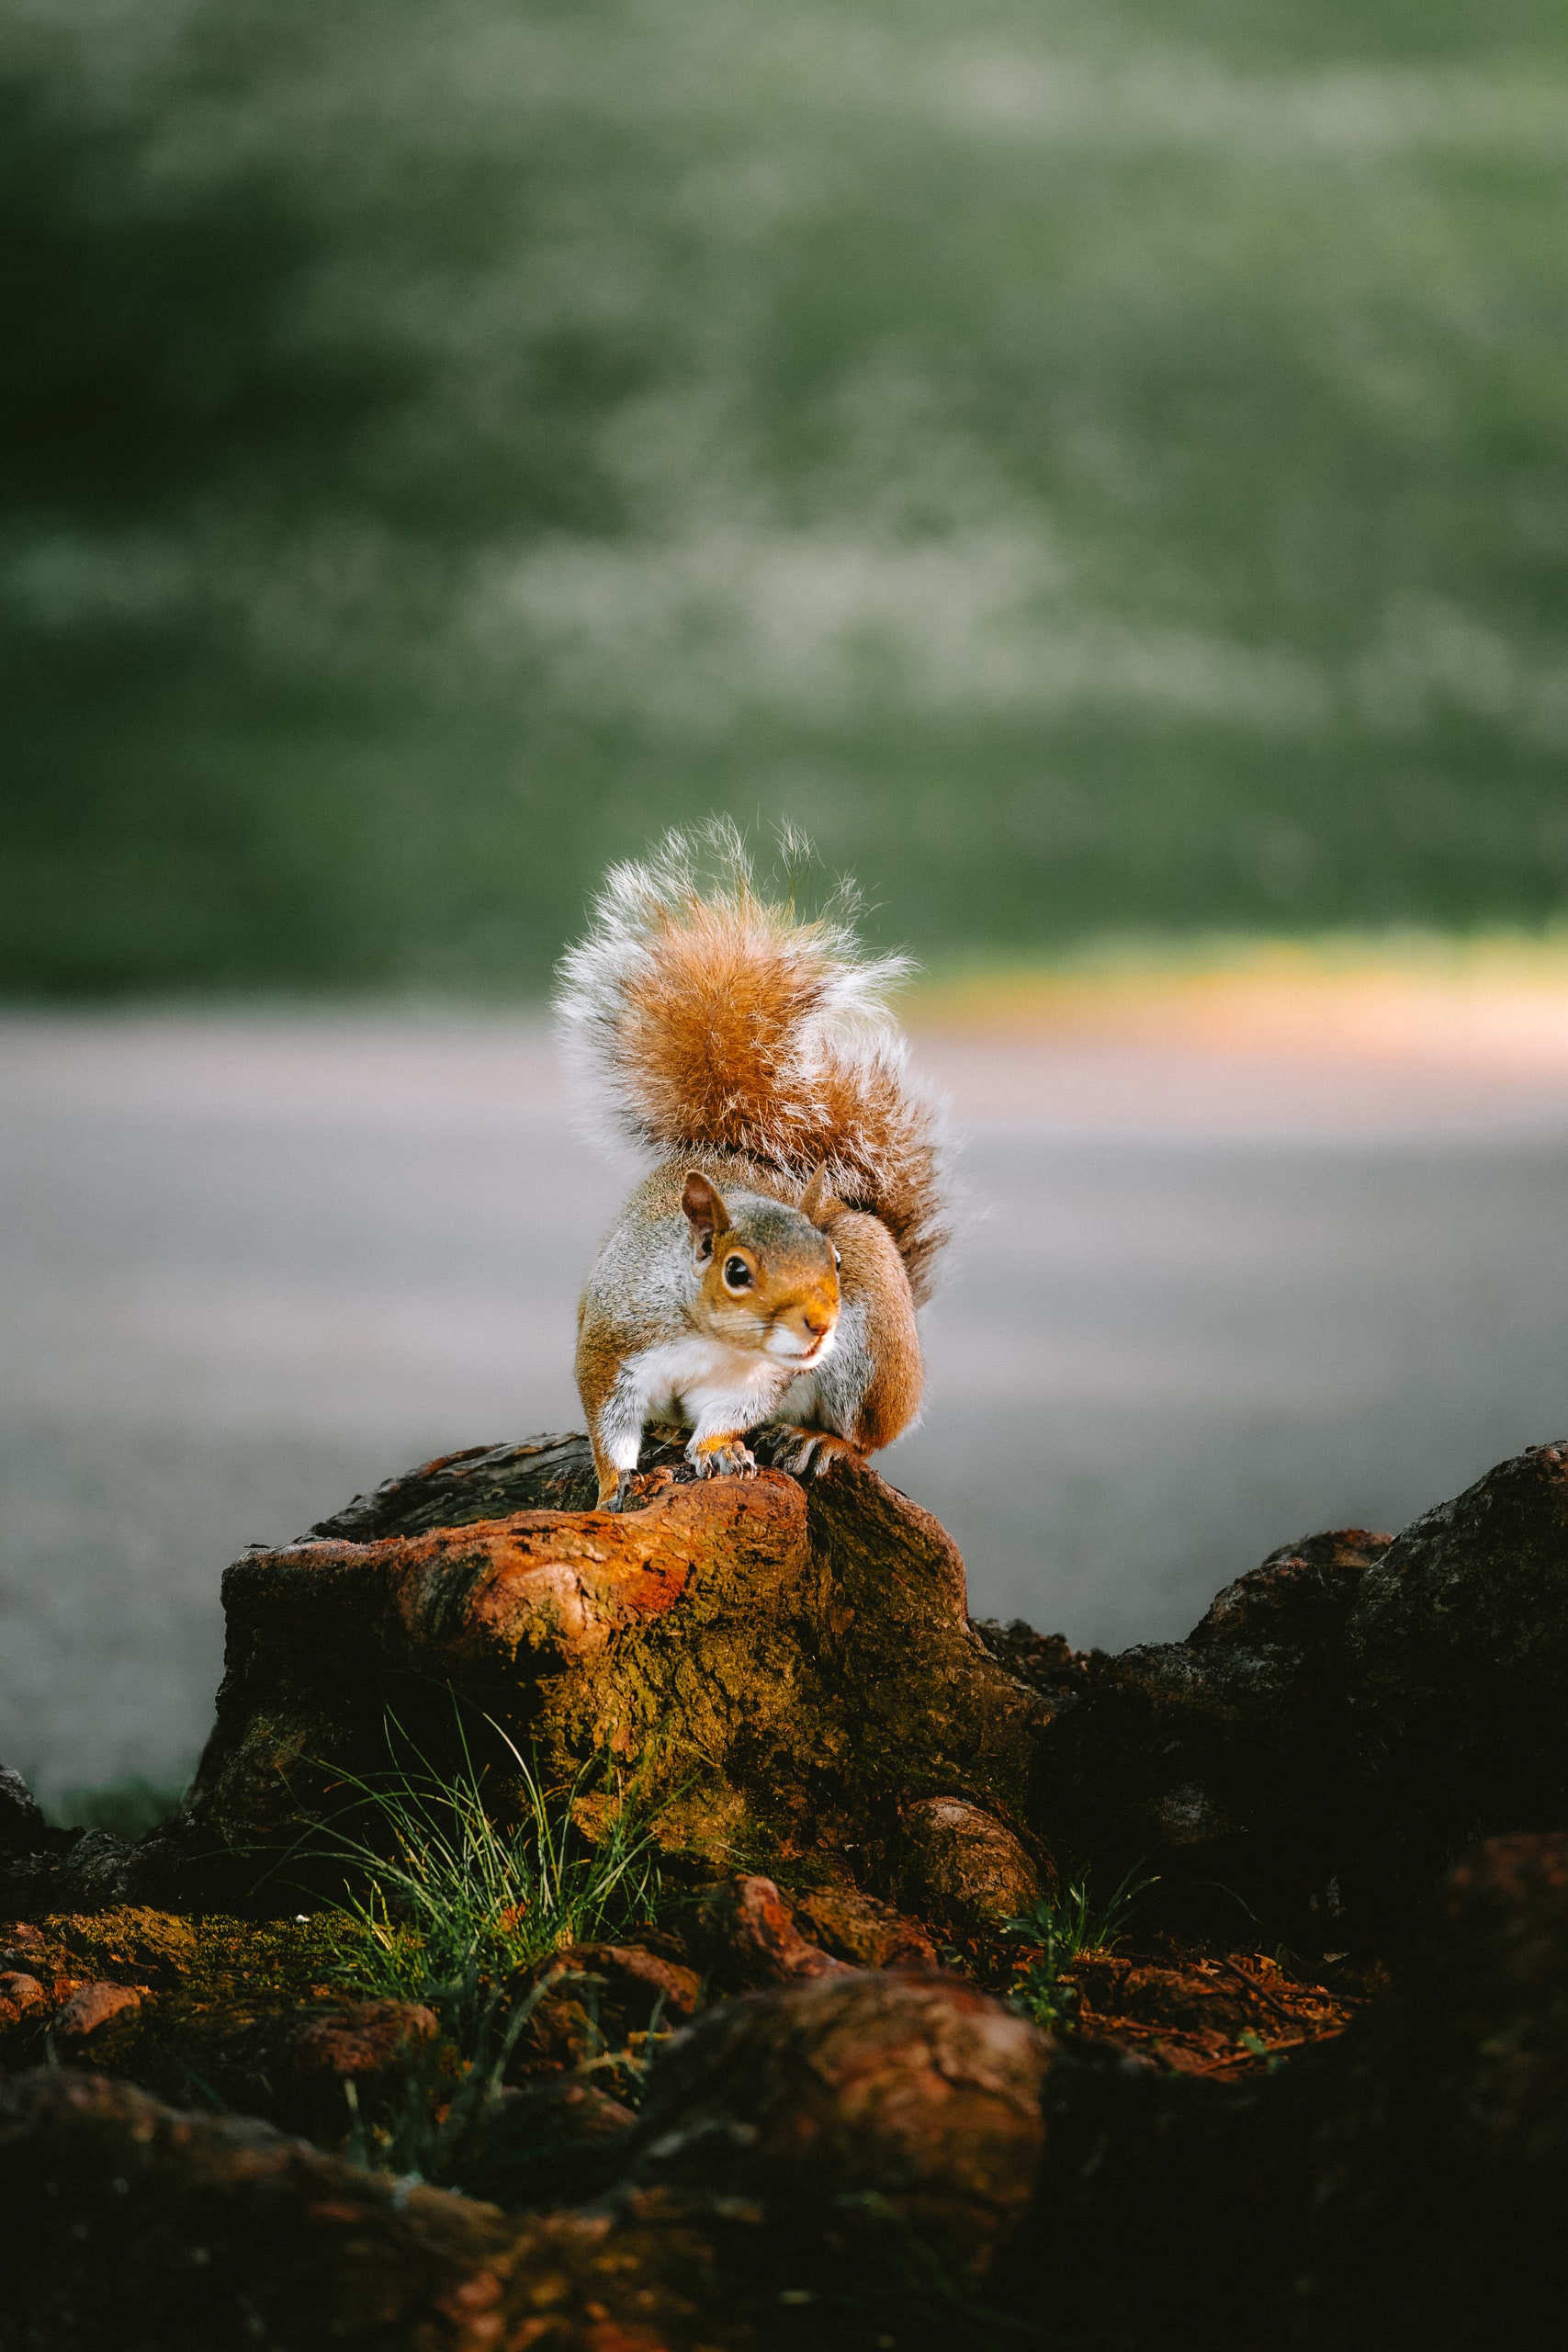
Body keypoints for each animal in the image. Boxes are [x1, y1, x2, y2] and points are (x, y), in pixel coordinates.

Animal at [554, 823, 950, 1510]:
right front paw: (611, 1486)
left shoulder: (756, 1381)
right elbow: (607, 1423)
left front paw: (718, 1449)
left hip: (874, 1354)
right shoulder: (613, 1345)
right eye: (736, 1271)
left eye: (833, 1263)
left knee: (867, 1435)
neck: (715, 1338)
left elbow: (729, 1413)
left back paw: (822, 1440)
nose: (819, 1325)